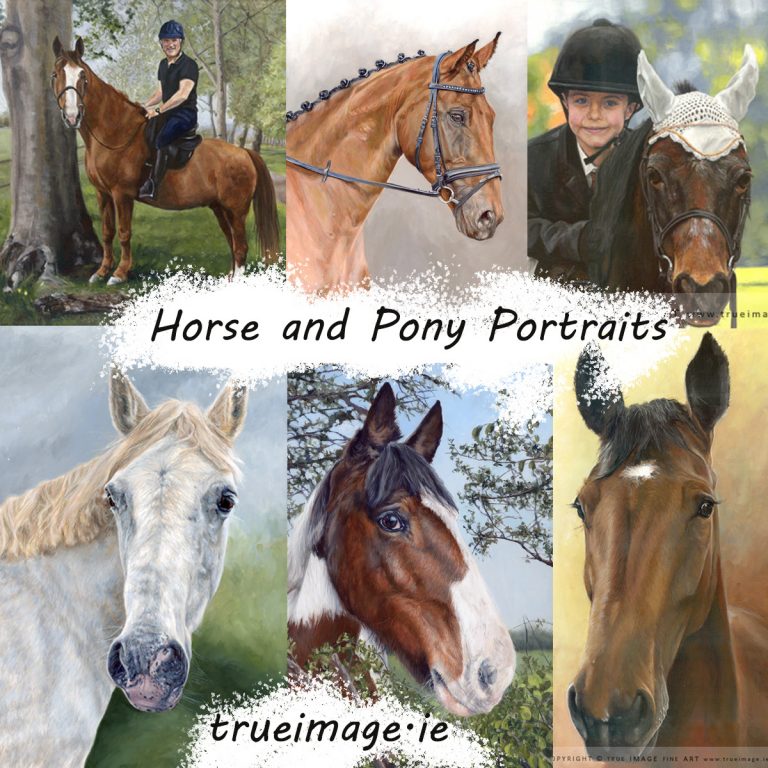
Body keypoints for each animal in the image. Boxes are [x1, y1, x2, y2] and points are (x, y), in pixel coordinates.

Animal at [50, 37, 280, 285]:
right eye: (55, 74)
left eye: (82, 76)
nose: (72, 116)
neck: (116, 133)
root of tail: (244, 153)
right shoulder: (103, 193)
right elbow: (107, 231)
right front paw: (101, 271)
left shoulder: (122, 194)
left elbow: (124, 232)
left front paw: (120, 273)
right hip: (220, 208)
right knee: (232, 241)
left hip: (236, 210)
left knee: (241, 246)